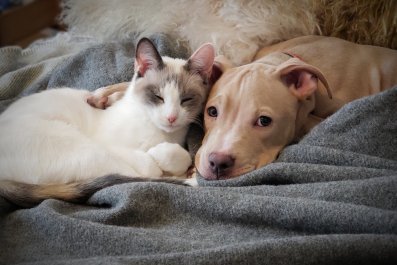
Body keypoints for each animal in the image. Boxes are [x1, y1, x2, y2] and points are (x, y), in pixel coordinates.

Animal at [0, 37, 215, 206]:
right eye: (157, 97)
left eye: (186, 99)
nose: (171, 117)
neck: (161, 133)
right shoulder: (107, 144)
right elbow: (149, 164)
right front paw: (157, 157)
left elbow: (181, 156)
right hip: (85, 150)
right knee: (131, 175)